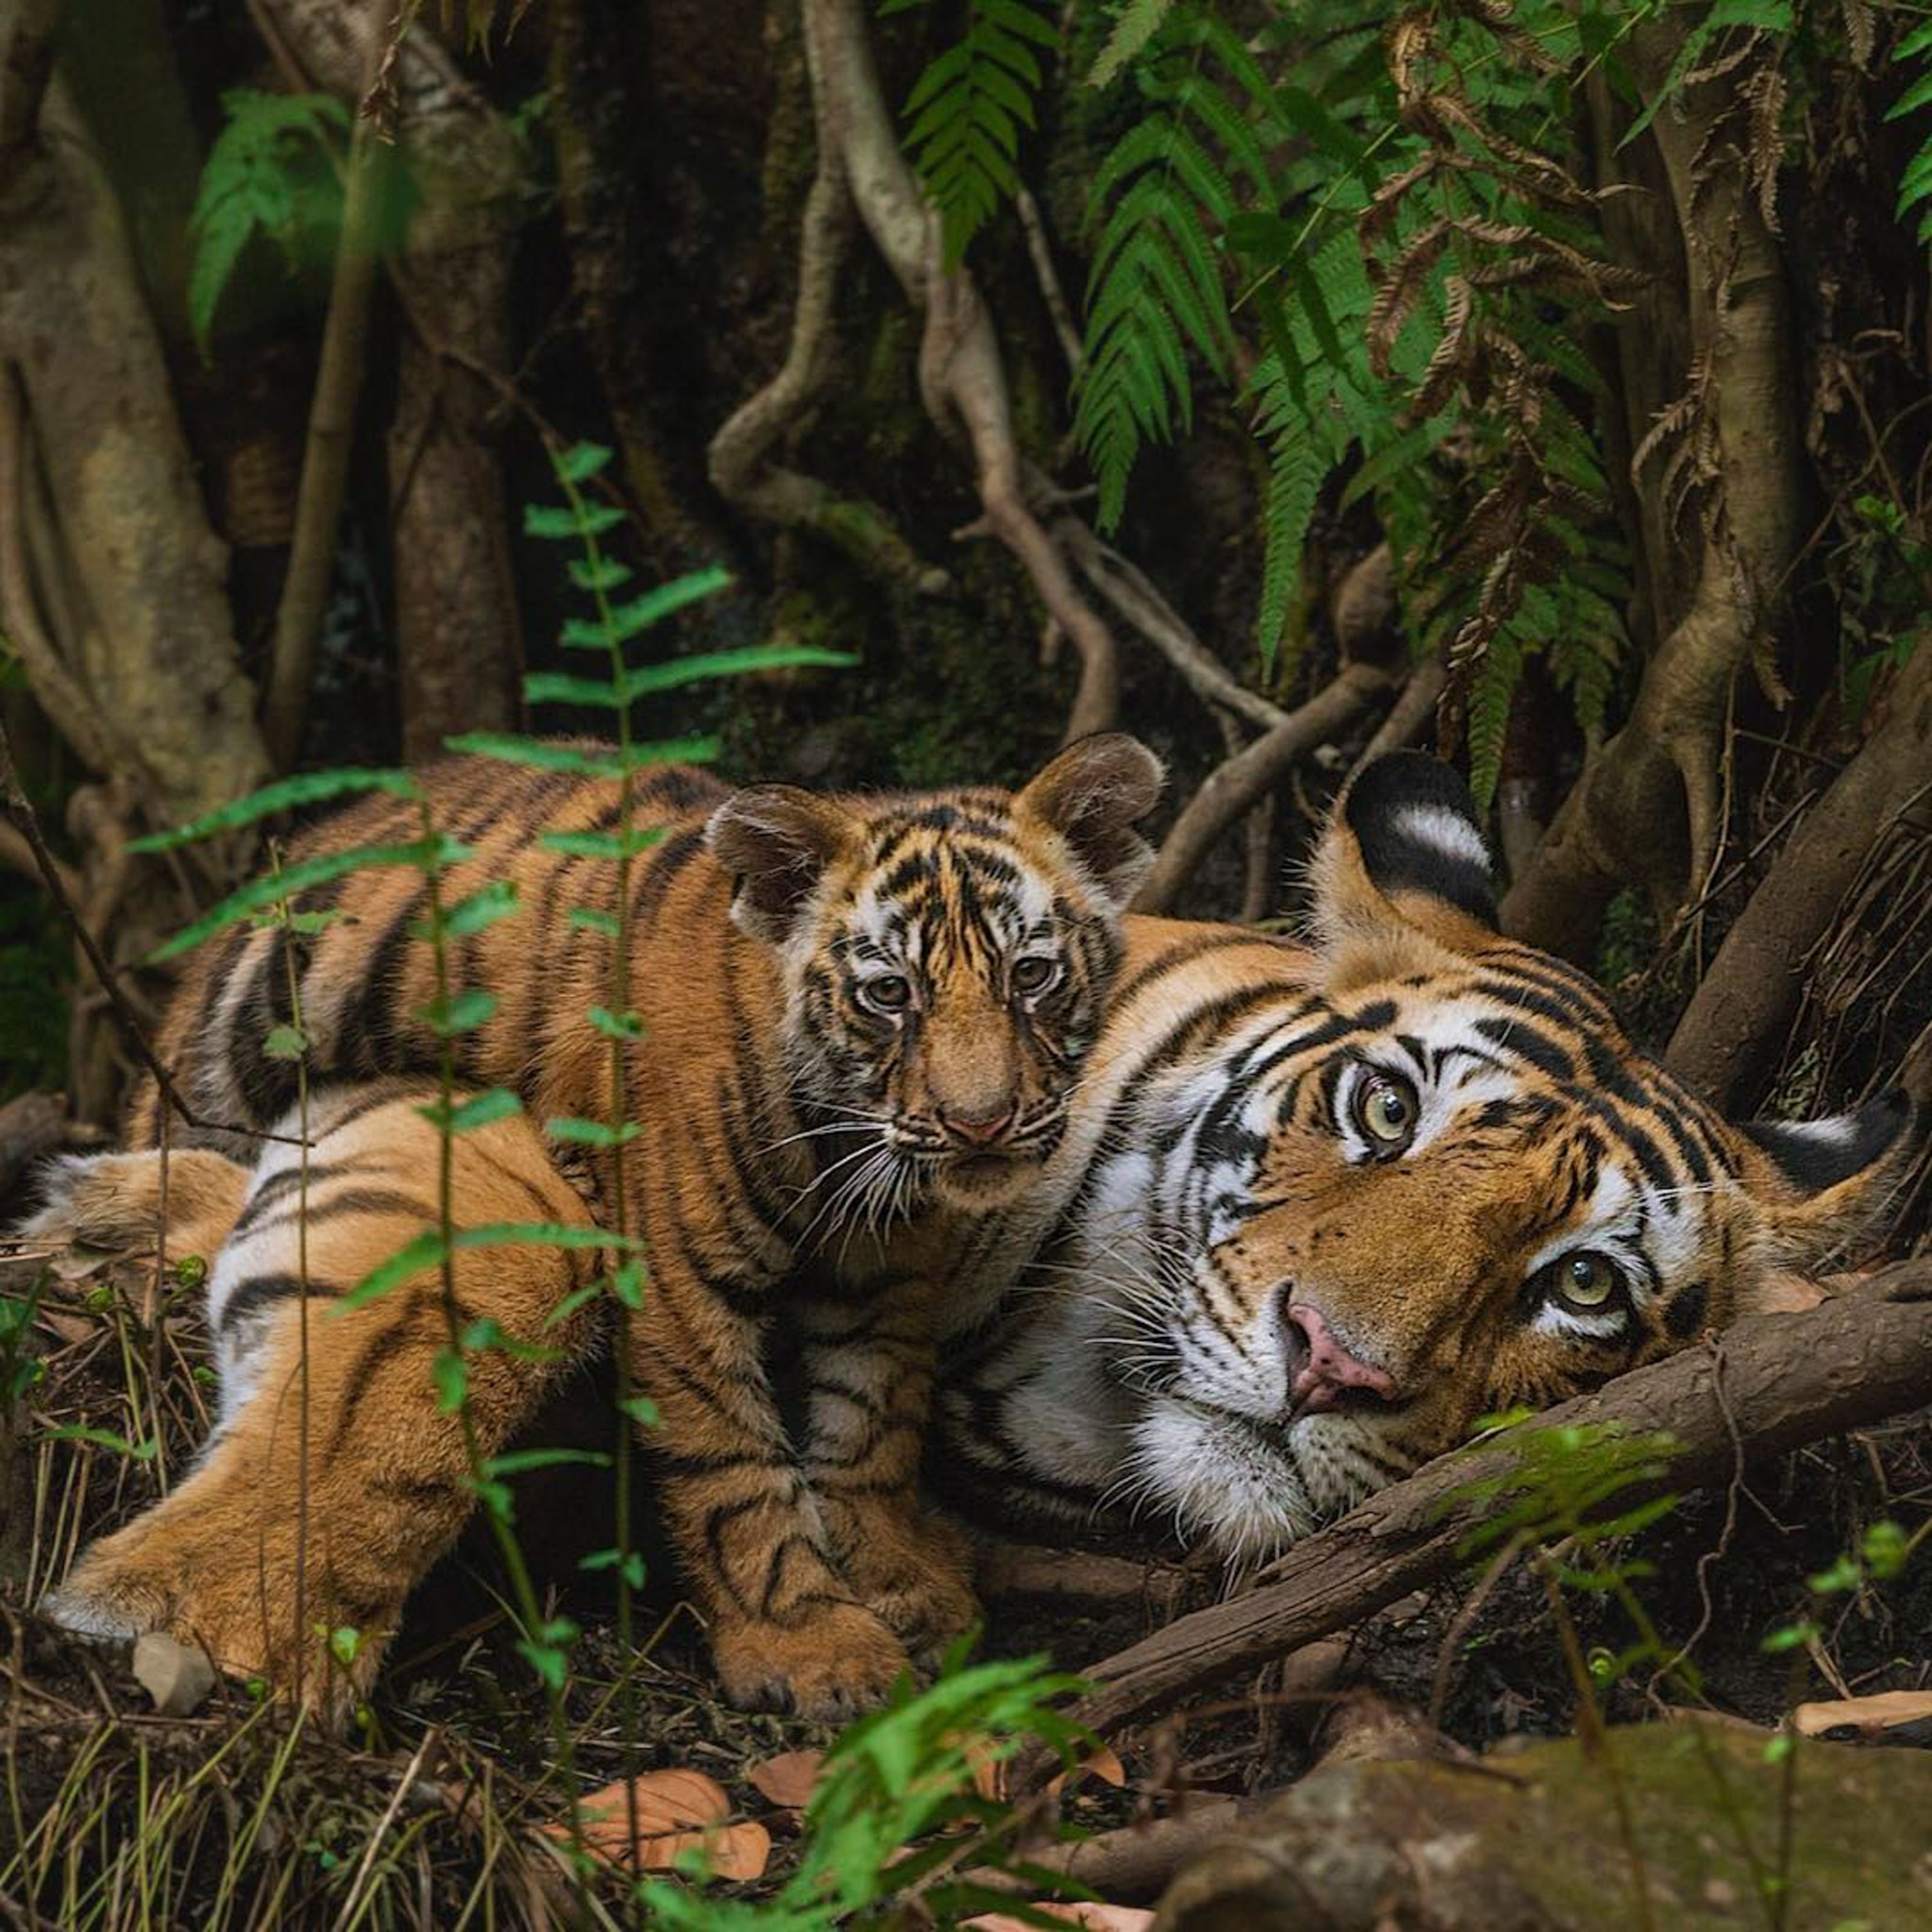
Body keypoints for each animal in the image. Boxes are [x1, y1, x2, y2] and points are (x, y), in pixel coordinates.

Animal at [38, 735, 1166, 1717]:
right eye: (890, 993)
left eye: (1030, 975)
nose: (980, 1123)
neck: (850, 1152)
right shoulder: (676, 1271)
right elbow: (730, 1464)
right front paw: (812, 1648)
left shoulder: (883, 1274)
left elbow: (873, 1423)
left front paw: (901, 1581)